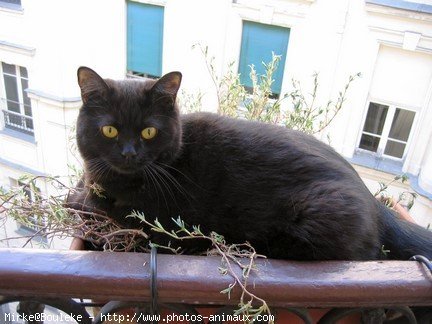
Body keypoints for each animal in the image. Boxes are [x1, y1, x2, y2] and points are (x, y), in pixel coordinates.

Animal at [68, 67, 432, 262]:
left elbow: (92, 208)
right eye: (110, 130)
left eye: (149, 131)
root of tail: (375, 203)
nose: (129, 153)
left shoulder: (160, 227)